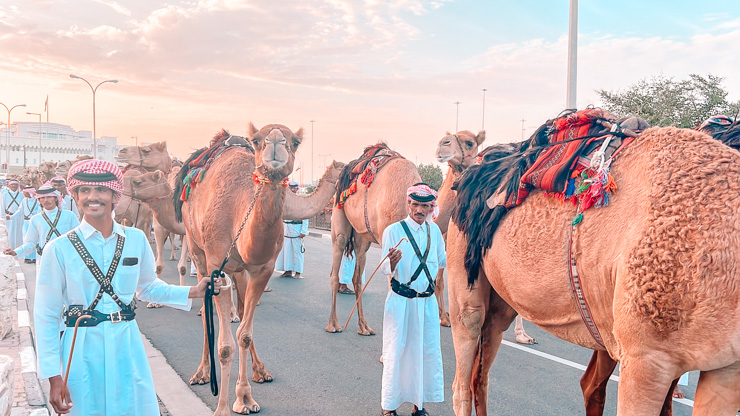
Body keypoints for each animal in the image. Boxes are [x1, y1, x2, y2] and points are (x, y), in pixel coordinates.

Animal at [176, 125, 324, 414]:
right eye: (257, 140)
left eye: (295, 142)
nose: (275, 140)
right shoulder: (217, 267)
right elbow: (225, 346)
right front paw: (222, 407)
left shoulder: (261, 269)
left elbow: (243, 334)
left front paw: (244, 397)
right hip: (198, 252)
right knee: (207, 312)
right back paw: (201, 373)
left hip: (239, 270)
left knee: (243, 310)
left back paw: (260, 371)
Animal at [326, 143, 422, 334]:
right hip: (338, 208)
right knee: (337, 258)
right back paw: (333, 324)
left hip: (363, 236)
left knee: (357, 274)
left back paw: (364, 327)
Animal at [446, 110, 740, 416]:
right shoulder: (646, 357)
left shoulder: (727, 367)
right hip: (463, 268)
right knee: (465, 358)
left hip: (503, 302)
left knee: (481, 371)